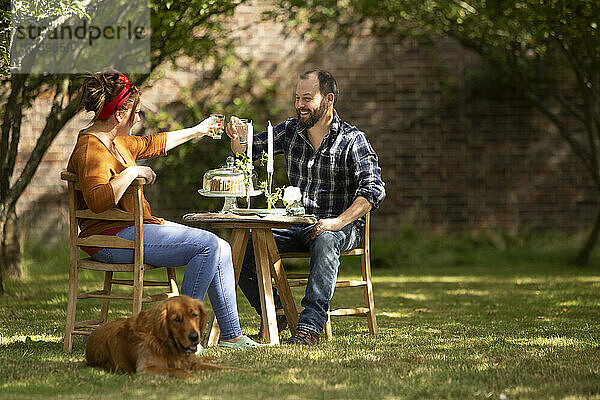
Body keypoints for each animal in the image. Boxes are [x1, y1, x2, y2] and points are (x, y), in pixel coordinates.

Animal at [85, 294, 236, 378]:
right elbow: (176, 370)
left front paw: (240, 371)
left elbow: (222, 368)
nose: (194, 337)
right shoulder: (146, 369)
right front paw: (195, 379)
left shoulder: (193, 362)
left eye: (194, 314)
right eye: (176, 319)